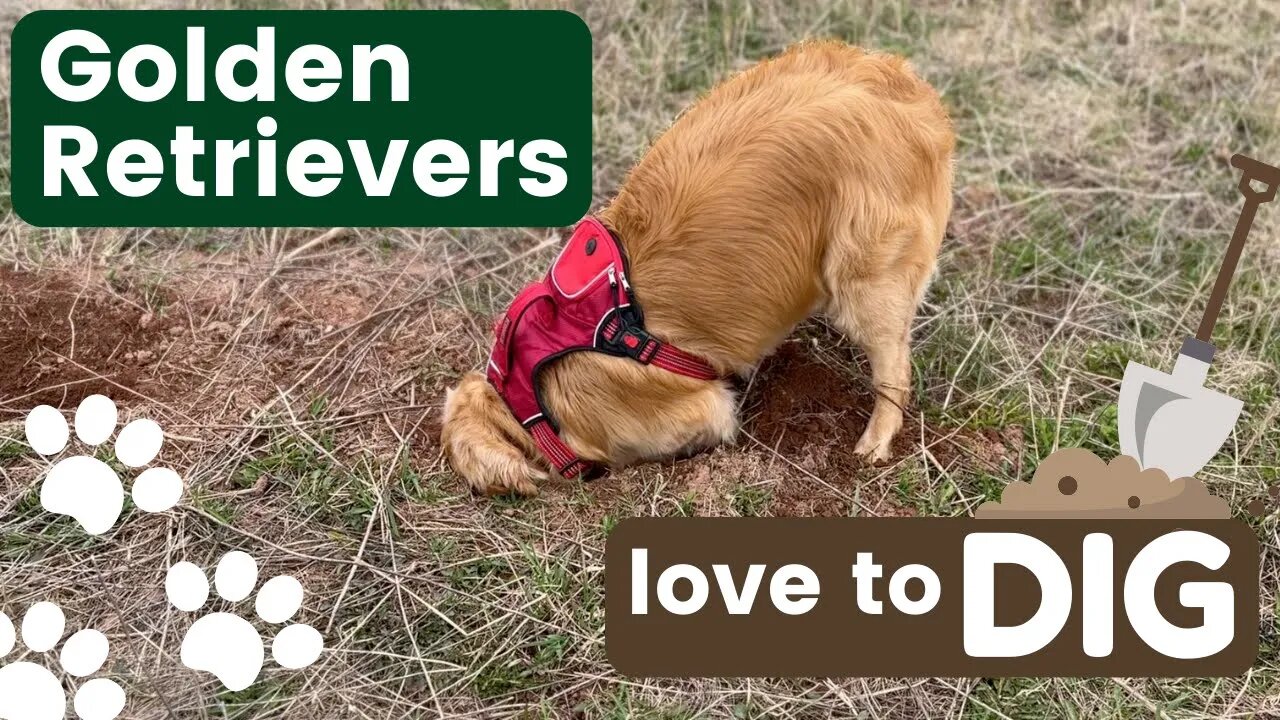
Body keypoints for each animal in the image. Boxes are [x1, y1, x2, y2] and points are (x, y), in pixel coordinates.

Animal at [440, 41, 952, 491]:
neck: (529, 400)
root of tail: (901, 90)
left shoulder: (706, 409)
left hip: (863, 279)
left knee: (894, 370)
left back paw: (874, 443)